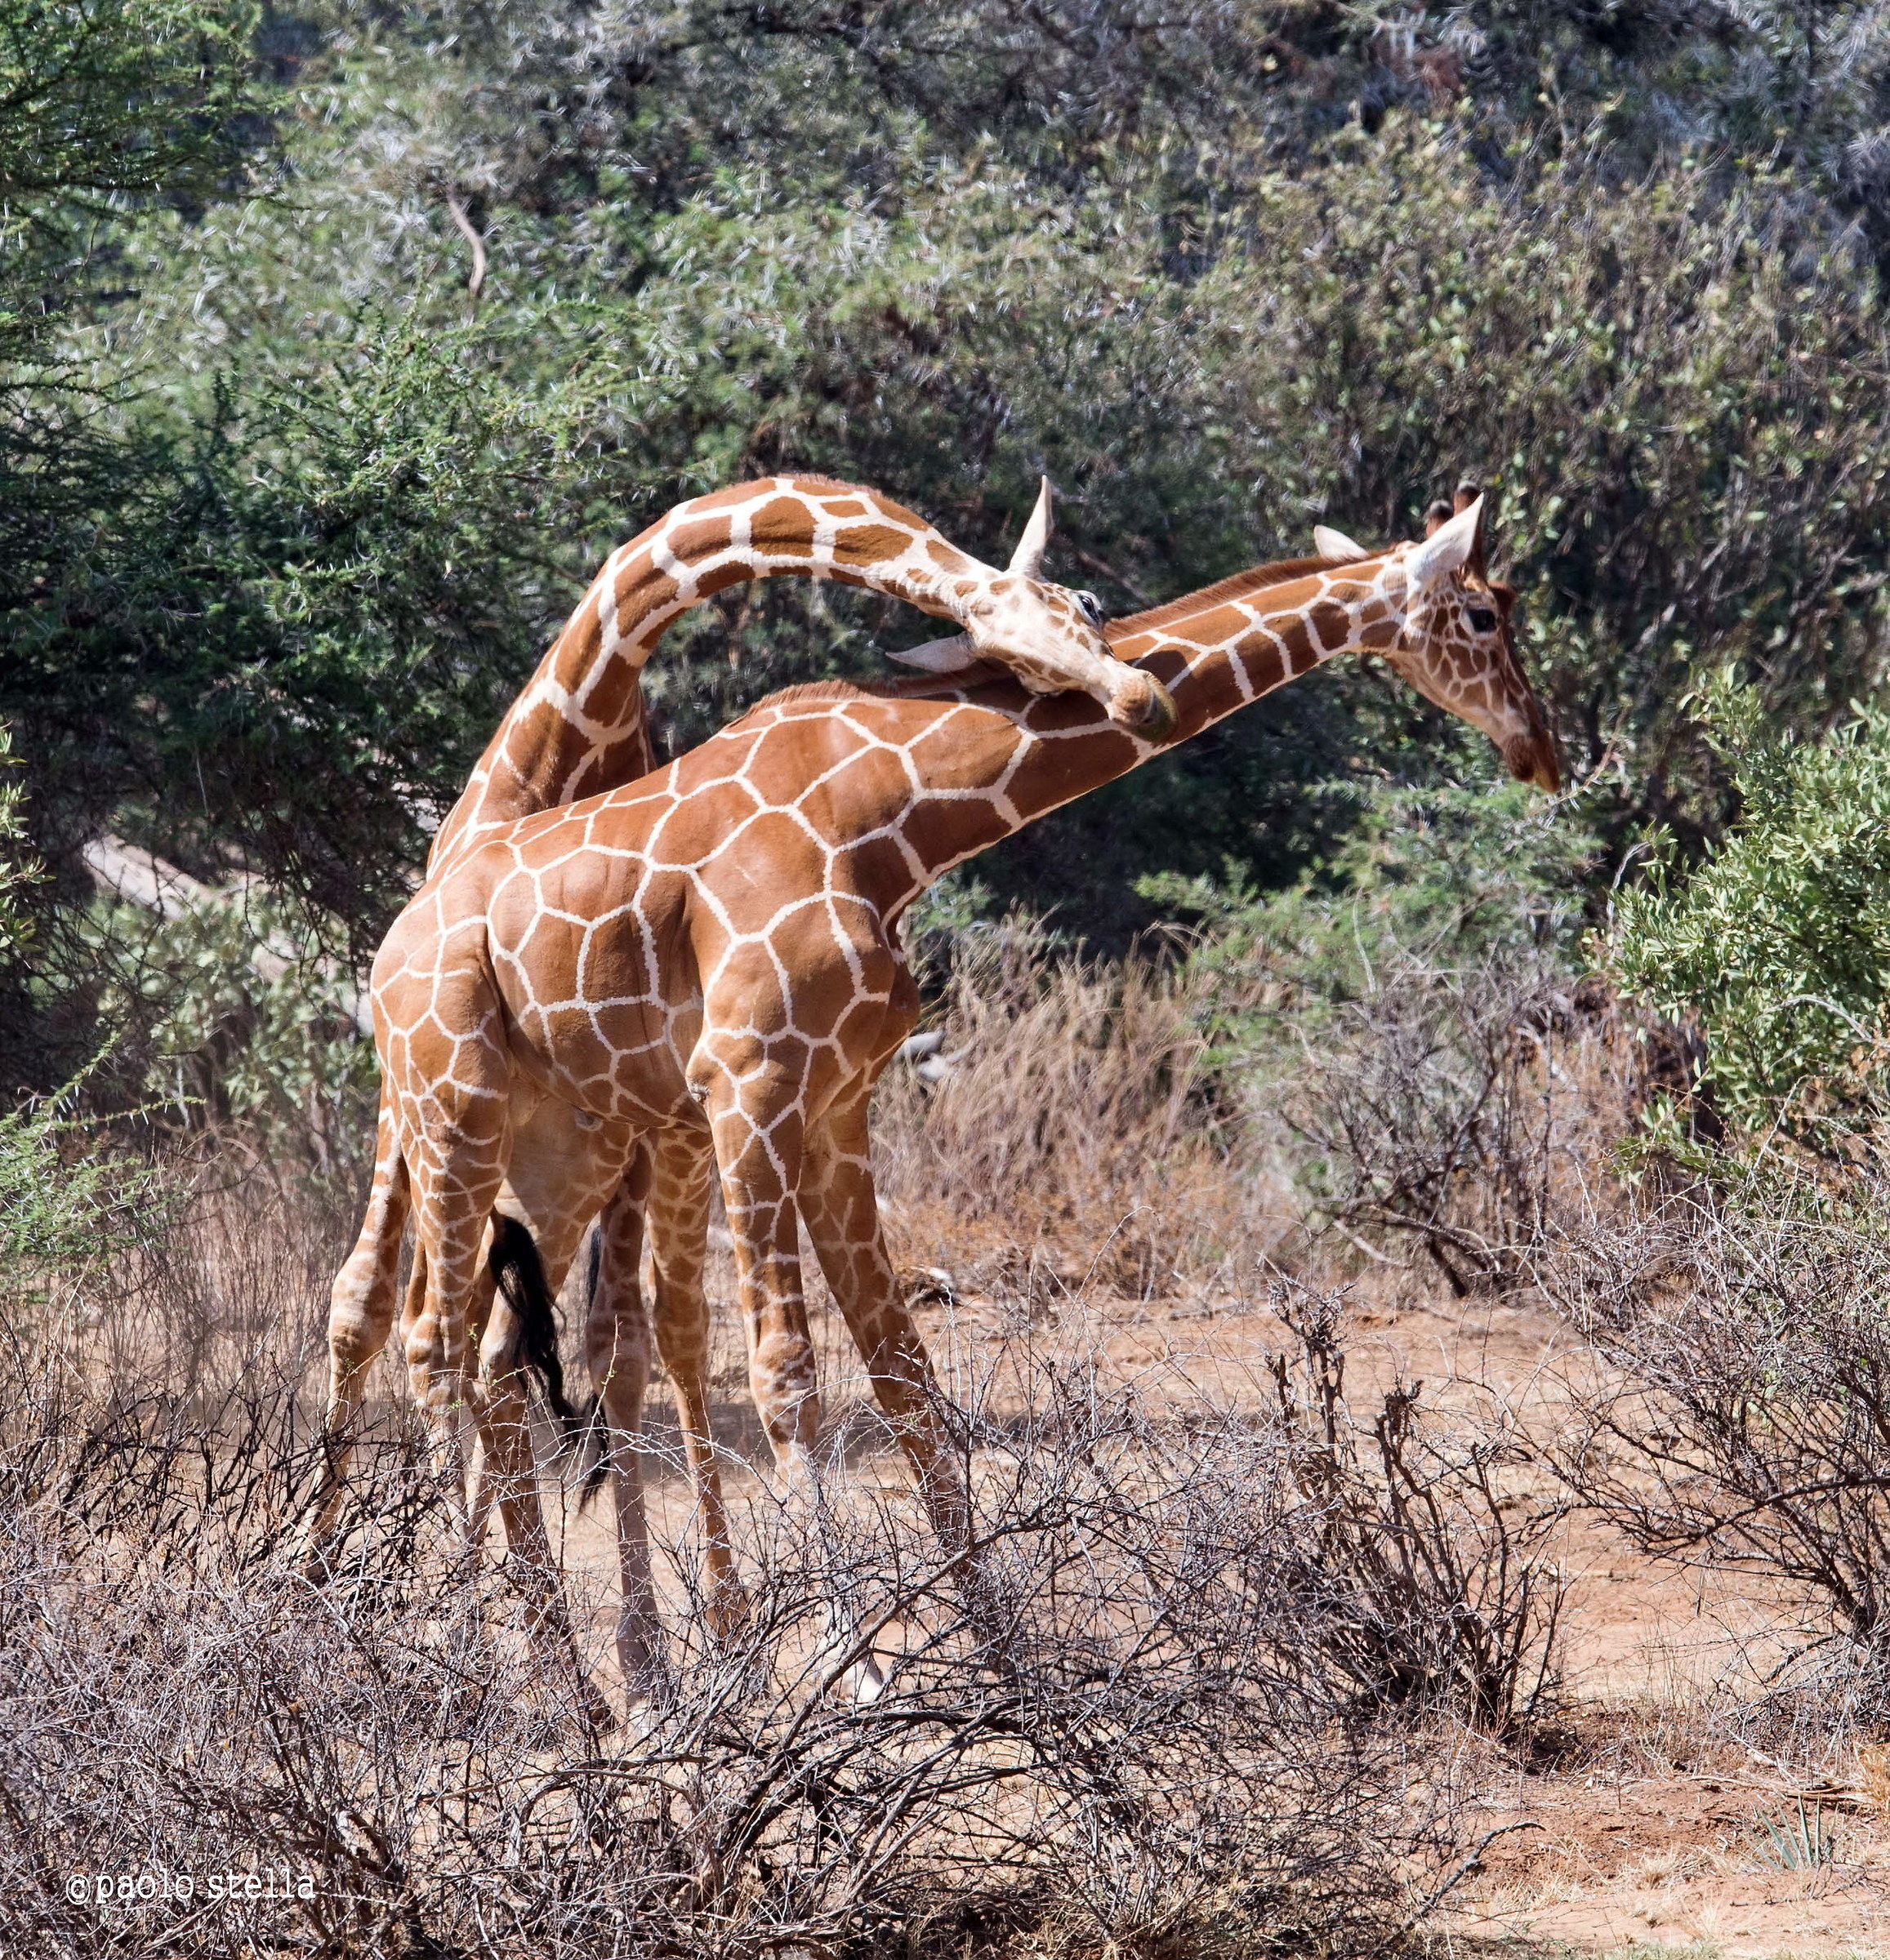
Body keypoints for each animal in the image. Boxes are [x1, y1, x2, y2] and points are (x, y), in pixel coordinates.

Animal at [326, 487, 1558, 1699]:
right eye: (1485, 615)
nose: (1540, 749)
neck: (881, 818)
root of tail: (395, 941)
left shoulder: (837, 1105)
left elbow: (901, 1371)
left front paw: (1001, 1648)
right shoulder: (749, 1085)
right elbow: (783, 1375)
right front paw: (849, 1665)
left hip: (561, 1153)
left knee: (495, 1359)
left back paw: (566, 1678)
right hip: (448, 1109)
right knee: (423, 1334)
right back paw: (464, 1659)